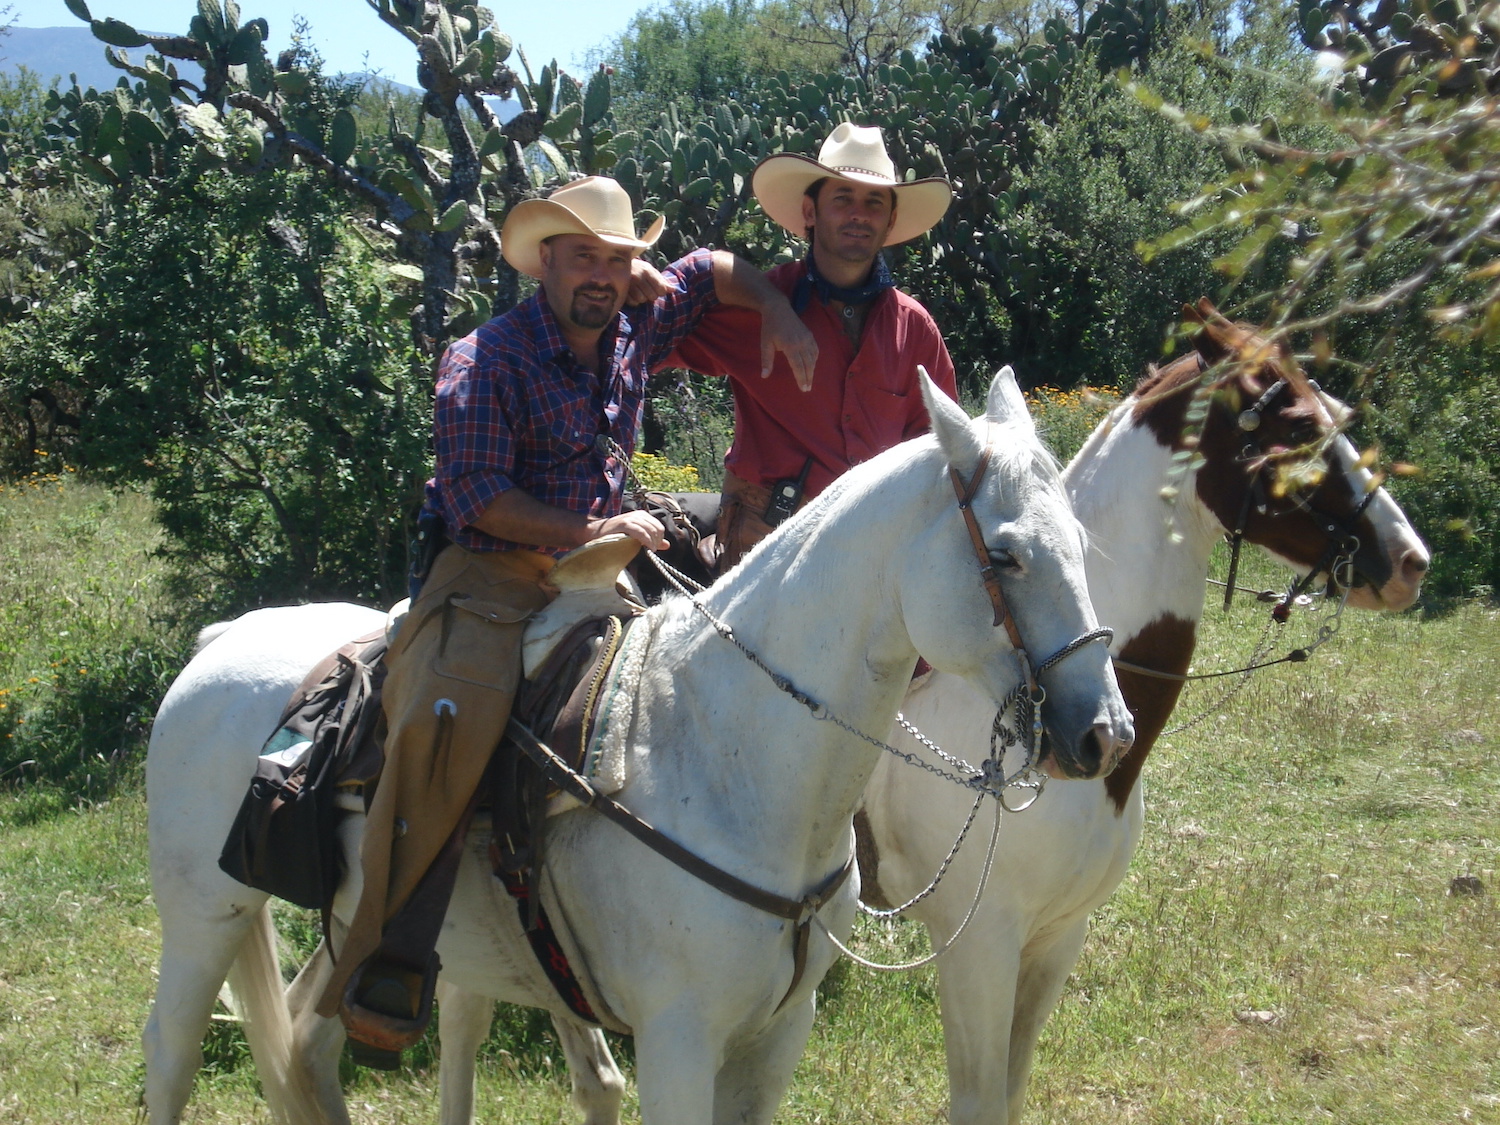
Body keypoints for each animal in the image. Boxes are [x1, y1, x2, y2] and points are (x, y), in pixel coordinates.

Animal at [141, 372, 1128, 1125]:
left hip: (357, 921)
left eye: (1083, 543)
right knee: (173, 1051)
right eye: (1006, 555)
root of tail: (221, 641)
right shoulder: (678, 1042)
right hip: (205, 915)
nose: (1104, 732)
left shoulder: (776, 1037)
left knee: (308, 1041)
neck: (726, 751)